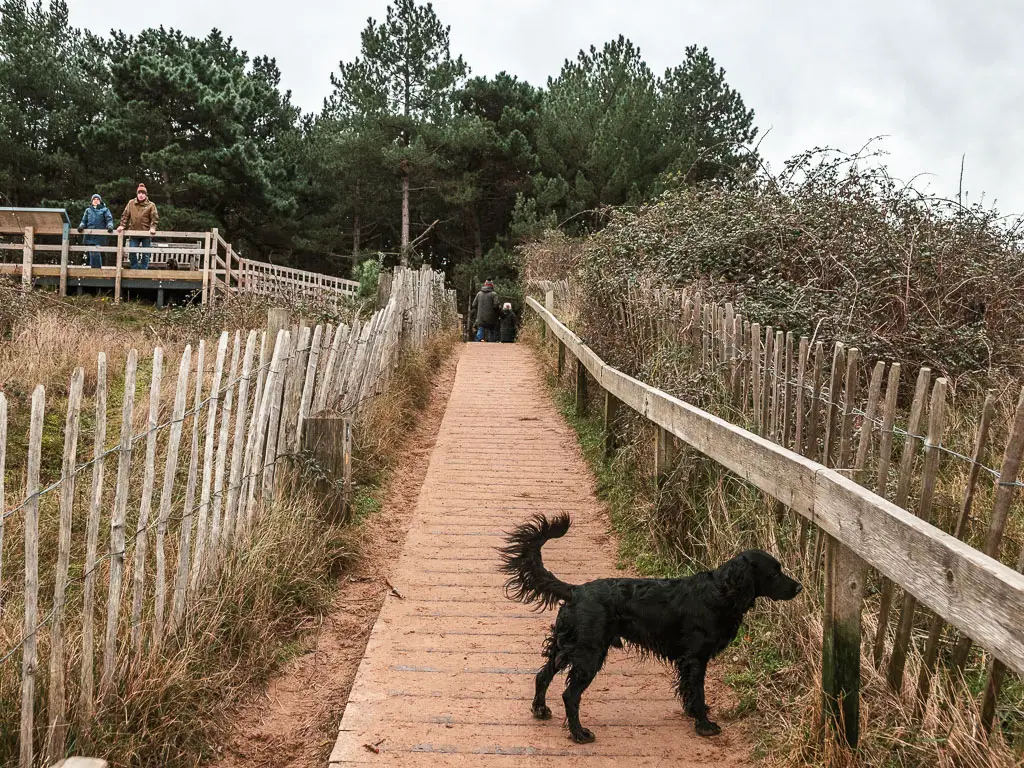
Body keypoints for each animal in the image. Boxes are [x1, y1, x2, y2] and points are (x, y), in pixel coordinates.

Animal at [499, 518, 802, 745]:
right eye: (774, 572)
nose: (799, 587)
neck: (720, 592)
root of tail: (576, 590)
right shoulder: (695, 658)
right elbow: (697, 691)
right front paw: (704, 725)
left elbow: (690, 692)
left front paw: (695, 714)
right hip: (589, 654)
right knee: (570, 695)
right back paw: (579, 733)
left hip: (567, 646)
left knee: (542, 676)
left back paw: (540, 710)